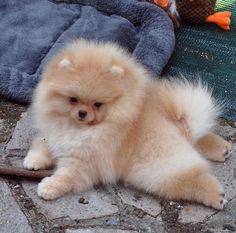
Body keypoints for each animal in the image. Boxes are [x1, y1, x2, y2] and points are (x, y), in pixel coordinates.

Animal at [23, 39, 231, 209]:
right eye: (73, 99)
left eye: (98, 104)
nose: (82, 113)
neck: (78, 128)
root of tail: (178, 127)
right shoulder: (55, 134)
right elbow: (43, 144)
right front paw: (33, 160)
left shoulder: (85, 160)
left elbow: (67, 176)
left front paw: (49, 186)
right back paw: (223, 149)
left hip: (160, 168)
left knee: (190, 178)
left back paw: (218, 196)